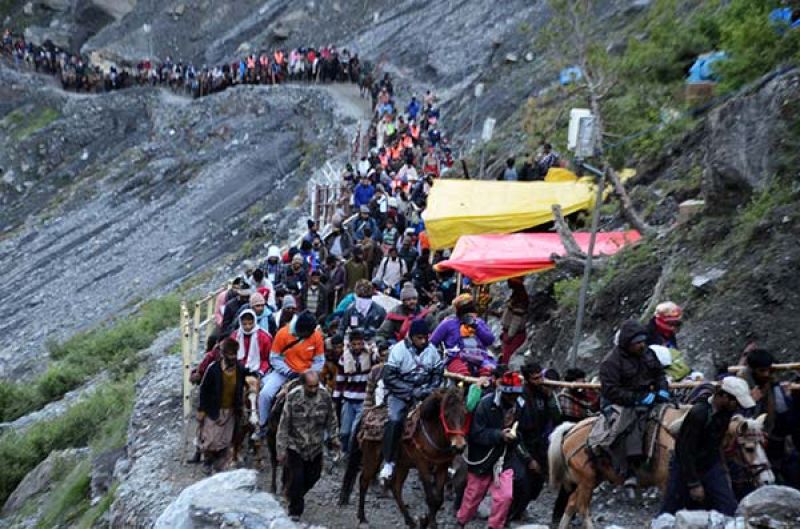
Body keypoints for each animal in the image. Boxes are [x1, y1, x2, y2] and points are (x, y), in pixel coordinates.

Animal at [354, 384, 466, 528]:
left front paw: (428, 521)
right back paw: (362, 517)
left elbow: (438, 500)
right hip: (372, 457)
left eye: (464, 413)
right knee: (364, 481)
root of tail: (367, 414)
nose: (459, 446)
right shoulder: (422, 466)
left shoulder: (442, 467)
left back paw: (410, 521)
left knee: (395, 488)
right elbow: (431, 498)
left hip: (403, 464)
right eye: (446, 415)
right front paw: (427, 521)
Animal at [552, 408, 776, 528]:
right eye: (748, 448)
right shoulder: (666, 484)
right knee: (582, 507)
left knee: (572, 503)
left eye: (763, 443)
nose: (768, 479)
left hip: (590, 480)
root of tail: (570, 429)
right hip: (587, 480)